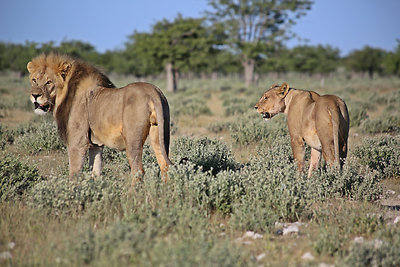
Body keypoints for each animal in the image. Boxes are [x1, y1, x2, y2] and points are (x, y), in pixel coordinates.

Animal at [28, 53, 172, 185]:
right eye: (34, 80)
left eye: (49, 82)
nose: (35, 95)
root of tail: (153, 92)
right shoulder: (96, 146)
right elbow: (96, 172)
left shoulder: (77, 143)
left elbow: (74, 174)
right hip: (159, 134)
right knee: (164, 165)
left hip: (132, 138)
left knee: (138, 171)